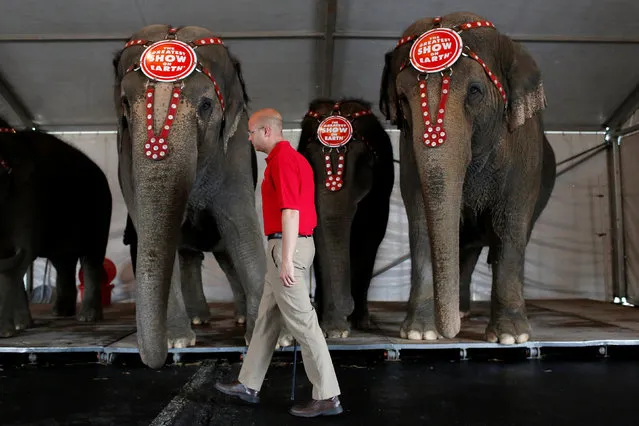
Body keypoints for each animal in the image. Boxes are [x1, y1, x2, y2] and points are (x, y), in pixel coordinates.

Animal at [0, 116, 112, 336]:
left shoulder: (29, 196)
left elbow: (22, 254)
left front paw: (17, 328)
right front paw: (19, 327)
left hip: (101, 209)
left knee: (91, 259)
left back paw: (87, 318)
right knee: (63, 263)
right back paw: (59, 313)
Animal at [114, 25, 266, 368]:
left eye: (207, 106)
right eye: (125, 104)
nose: (154, 361)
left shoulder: (235, 147)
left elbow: (239, 221)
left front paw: (274, 339)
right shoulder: (125, 154)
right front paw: (177, 341)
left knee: (225, 255)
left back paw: (236, 318)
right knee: (189, 255)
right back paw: (198, 320)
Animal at [298, 98, 396, 338]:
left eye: (365, 164)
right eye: (307, 162)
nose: (346, 306)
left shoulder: (381, 189)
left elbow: (370, 238)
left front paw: (346, 325)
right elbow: (318, 239)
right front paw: (332, 330)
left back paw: (361, 320)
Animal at [380, 12, 556, 346]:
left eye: (475, 90)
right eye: (403, 99)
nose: (450, 334)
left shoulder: (525, 152)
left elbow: (511, 224)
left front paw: (511, 337)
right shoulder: (408, 149)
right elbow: (420, 221)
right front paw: (420, 333)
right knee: (467, 248)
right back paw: (460, 311)